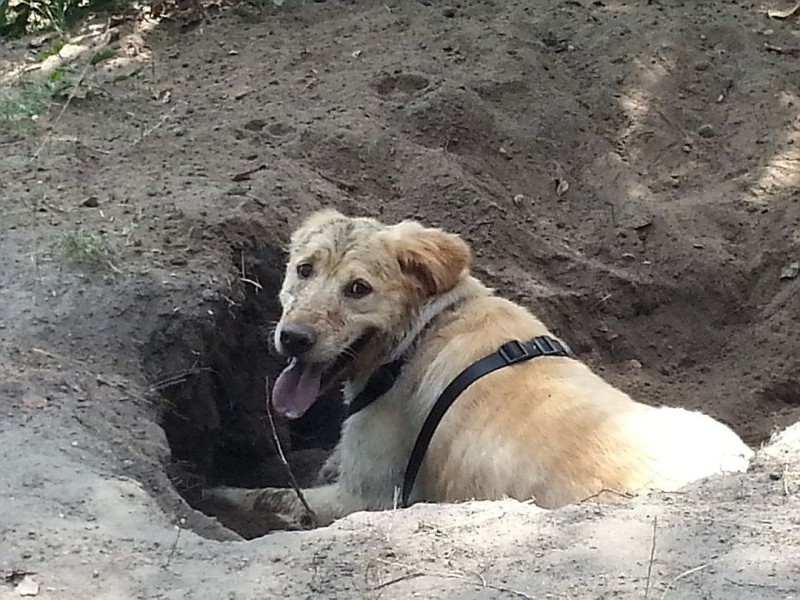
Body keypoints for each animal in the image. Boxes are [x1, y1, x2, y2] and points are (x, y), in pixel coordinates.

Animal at [205, 209, 752, 528]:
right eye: (304, 269)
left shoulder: (365, 499)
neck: (425, 327)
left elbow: (268, 496)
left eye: (359, 289)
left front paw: (216, 493)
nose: (293, 338)